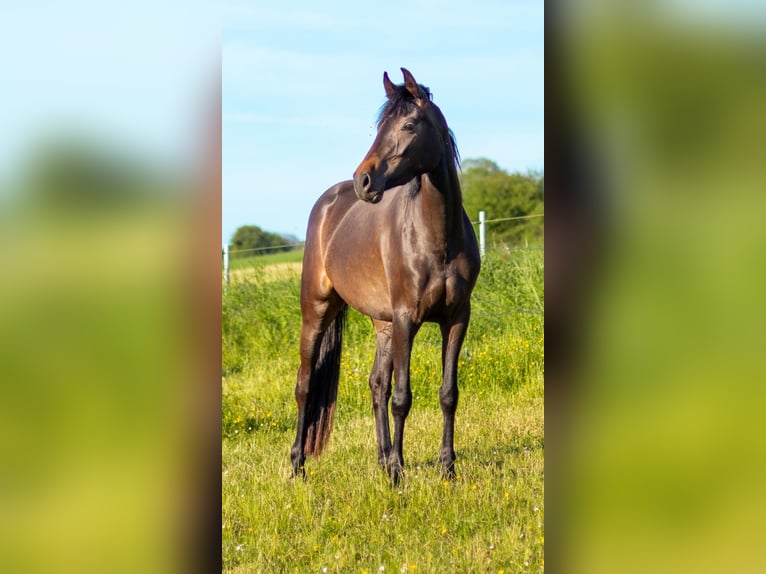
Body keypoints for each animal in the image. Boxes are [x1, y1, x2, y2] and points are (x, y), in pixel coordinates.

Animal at [292, 67, 480, 484]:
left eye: (408, 125)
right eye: (379, 127)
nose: (363, 181)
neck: (437, 236)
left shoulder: (456, 318)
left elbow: (448, 393)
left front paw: (447, 469)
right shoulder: (407, 317)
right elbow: (402, 397)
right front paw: (399, 476)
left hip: (383, 323)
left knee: (376, 384)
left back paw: (383, 458)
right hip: (318, 310)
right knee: (305, 386)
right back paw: (297, 466)